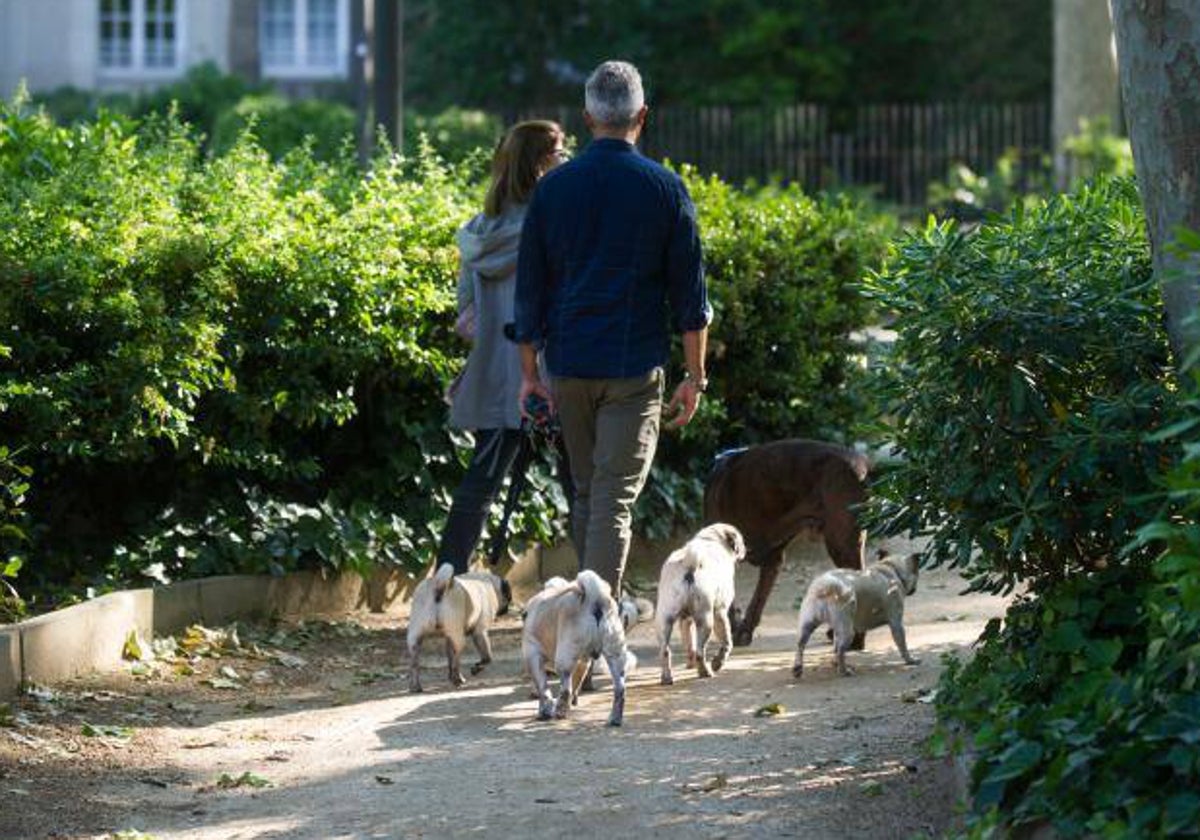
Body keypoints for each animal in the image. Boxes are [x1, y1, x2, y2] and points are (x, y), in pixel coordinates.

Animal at [525, 571, 638, 729]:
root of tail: (594, 598)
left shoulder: (532, 654)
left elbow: (543, 688)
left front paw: (545, 711)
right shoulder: (583, 662)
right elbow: (575, 682)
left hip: (563, 660)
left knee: (566, 688)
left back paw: (560, 711)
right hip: (616, 655)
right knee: (620, 689)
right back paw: (614, 719)